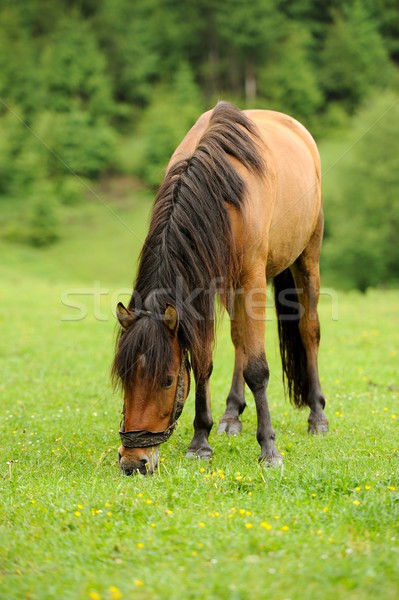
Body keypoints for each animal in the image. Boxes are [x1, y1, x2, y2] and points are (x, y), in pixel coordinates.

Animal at [111, 104, 328, 478]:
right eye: (125, 378)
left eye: (167, 380)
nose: (134, 462)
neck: (221, 192)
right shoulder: (203, 287)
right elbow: (203, 362)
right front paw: (201, 441)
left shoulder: (251, 279)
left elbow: (258, 368)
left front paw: (269, 449)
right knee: (240, 338)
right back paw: (231, 414)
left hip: (306, 258)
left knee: (308, 330)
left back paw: (317, 416)